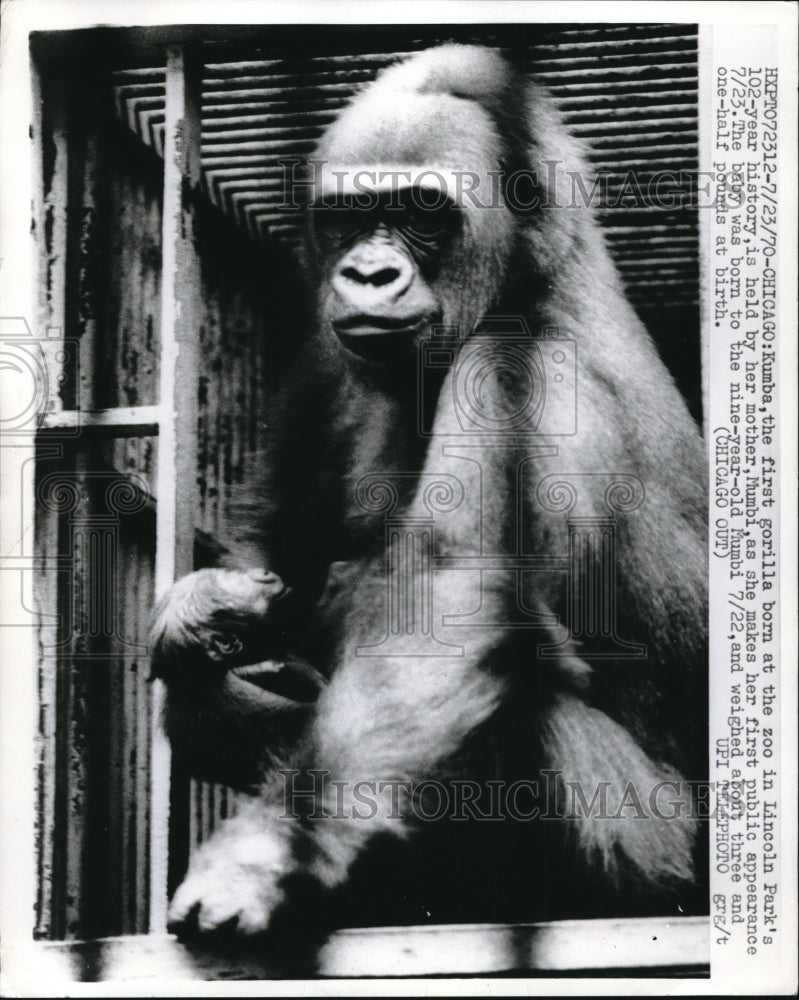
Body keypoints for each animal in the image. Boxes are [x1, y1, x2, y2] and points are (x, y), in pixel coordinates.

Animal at [162, 44, 708, 938]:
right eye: (351, 217)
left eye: (422, 211)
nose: (369, 272)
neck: (532, 283)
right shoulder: (328, 356)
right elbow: (282, 569)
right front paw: (201, 624)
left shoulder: (517, 379)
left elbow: (441, 608)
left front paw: (264, 856)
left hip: (659, 863)